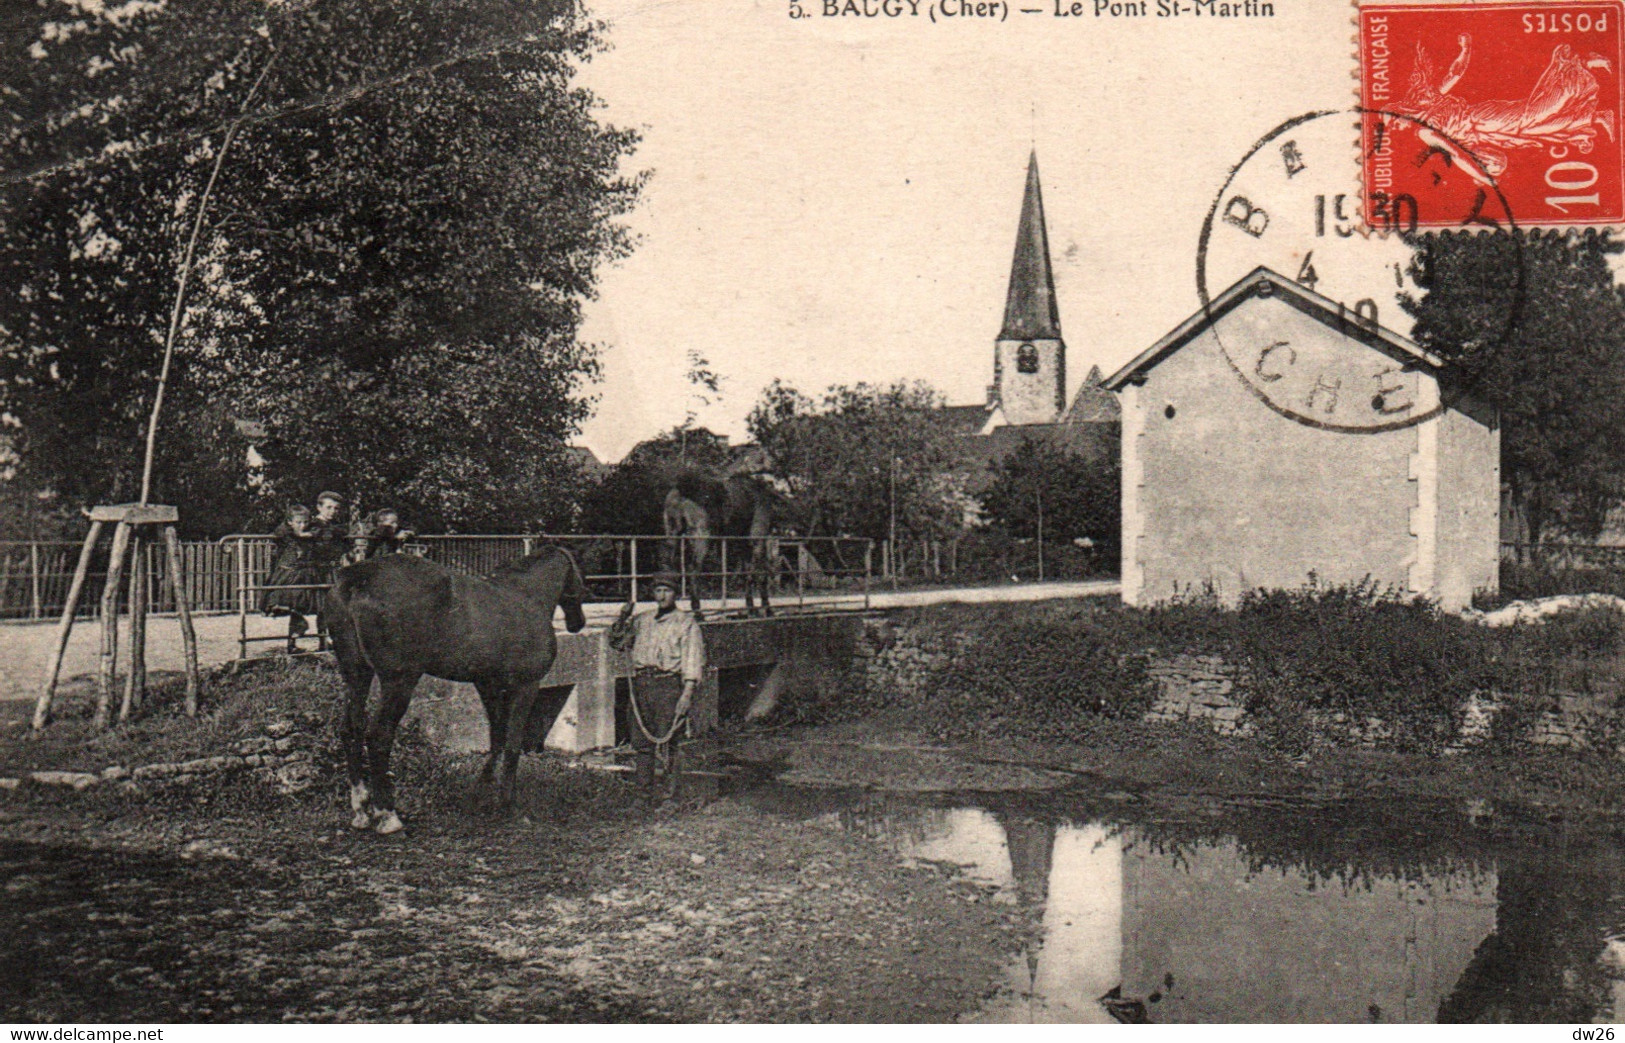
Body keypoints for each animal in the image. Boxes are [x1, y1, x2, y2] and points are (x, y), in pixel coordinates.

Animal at [326, 545, 588, 828]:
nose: (579, 622)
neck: (525, 595)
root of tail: (354, 580)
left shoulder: (489, 686)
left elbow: (497, 738)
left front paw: (481, 792)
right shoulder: (526, 686)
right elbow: (512, 743)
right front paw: (507, 803)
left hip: (356, 675)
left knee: (350, 729)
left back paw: (361, 808)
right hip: (398, 682)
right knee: (378, 736)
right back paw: (388, 814)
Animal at [666, 464, 780, 617]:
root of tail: (681, 490)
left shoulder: (743, 543)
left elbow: (747, 572)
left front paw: (751, 607)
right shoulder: (757, 538)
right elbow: (760, 572)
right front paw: (765, 607)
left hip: (672, 535)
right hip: (702, 537)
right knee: (693, 569)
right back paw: (698, 612)